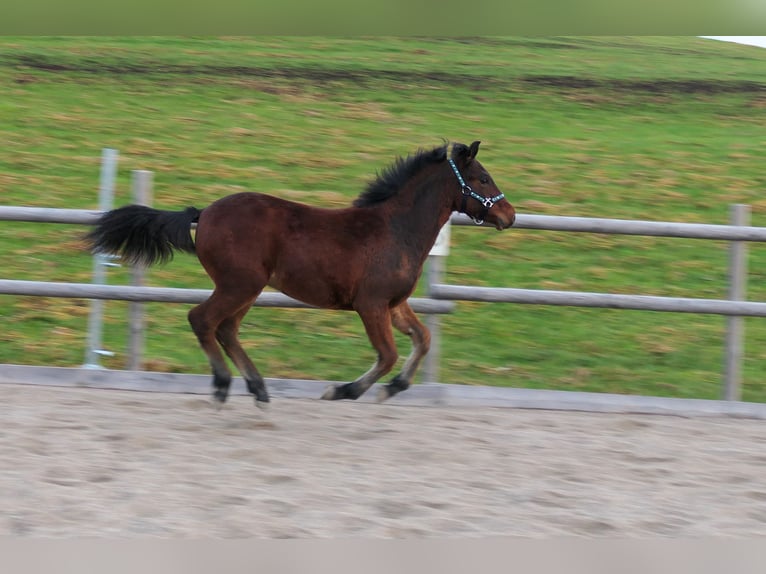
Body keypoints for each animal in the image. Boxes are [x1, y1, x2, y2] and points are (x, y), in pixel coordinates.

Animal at [90, 140, 520, 410]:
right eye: (483, 178)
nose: (509, 215)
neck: (395, 229)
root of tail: (205, 212)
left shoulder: (394, 303)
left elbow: (423, 339)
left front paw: (393, 389)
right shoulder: (370, 304)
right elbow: (387, 354)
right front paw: (343, 391)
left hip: (246, 288)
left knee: (226, 329)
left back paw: (258, 389)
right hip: (239, 284)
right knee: (203, 320)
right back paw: (224, 385)